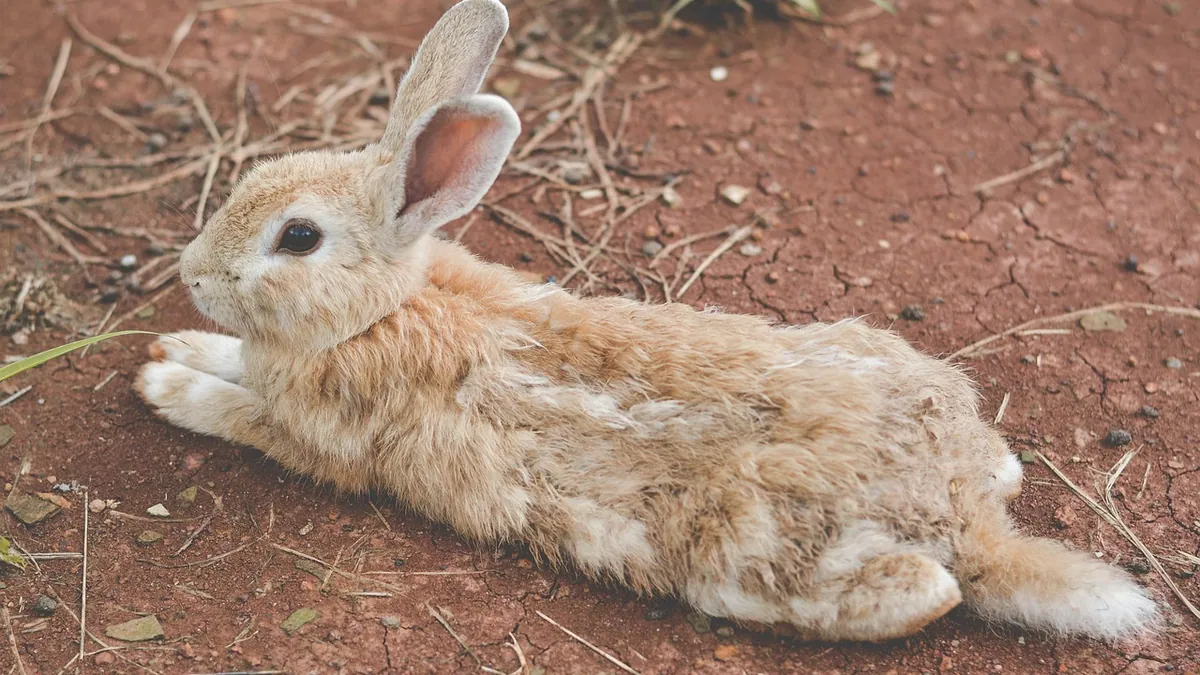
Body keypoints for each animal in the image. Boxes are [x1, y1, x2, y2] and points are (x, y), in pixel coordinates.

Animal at [136, 0, 1158, 642]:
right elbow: (234, 361)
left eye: (298, 237)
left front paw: (164, 379)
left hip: (755, 560)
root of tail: (963, 520)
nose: (192, 274)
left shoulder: (318, 438)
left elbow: (237, 411)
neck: (381, 307)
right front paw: (179, 345)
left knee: (925, 593)